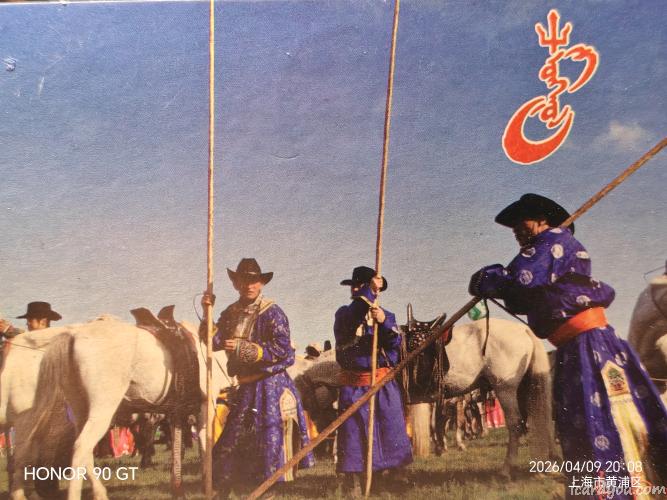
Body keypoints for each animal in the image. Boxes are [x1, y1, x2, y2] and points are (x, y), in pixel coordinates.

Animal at [12, 313, 230, 500]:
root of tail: (74, 335)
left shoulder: (176, 412)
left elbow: (178, 443)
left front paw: (178, 487)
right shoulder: (205, 405)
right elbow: (204, 441)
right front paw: (207, 483)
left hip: (81, 410)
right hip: (102, 410)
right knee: (80, 446)